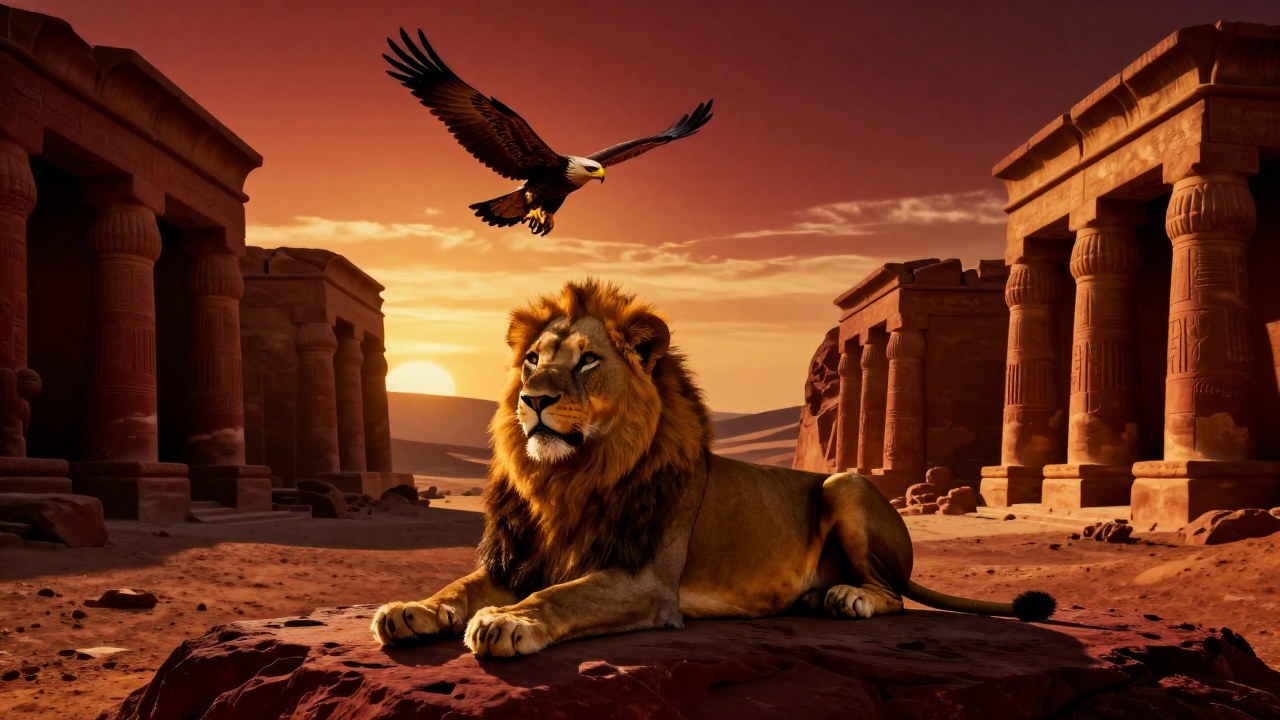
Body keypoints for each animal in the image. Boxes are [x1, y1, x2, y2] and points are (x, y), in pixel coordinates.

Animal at [371, 279, 1054, 657]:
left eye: (588, 361)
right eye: (533, 359)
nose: (531, 398)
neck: (569, 478)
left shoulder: (645, 581)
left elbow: (562, 593)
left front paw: (508, 621)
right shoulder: (519, 558)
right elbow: (459, 586)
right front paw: (411, 610)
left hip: (845, 483)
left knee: (895, 596)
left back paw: (847, 598)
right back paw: (817, 596)